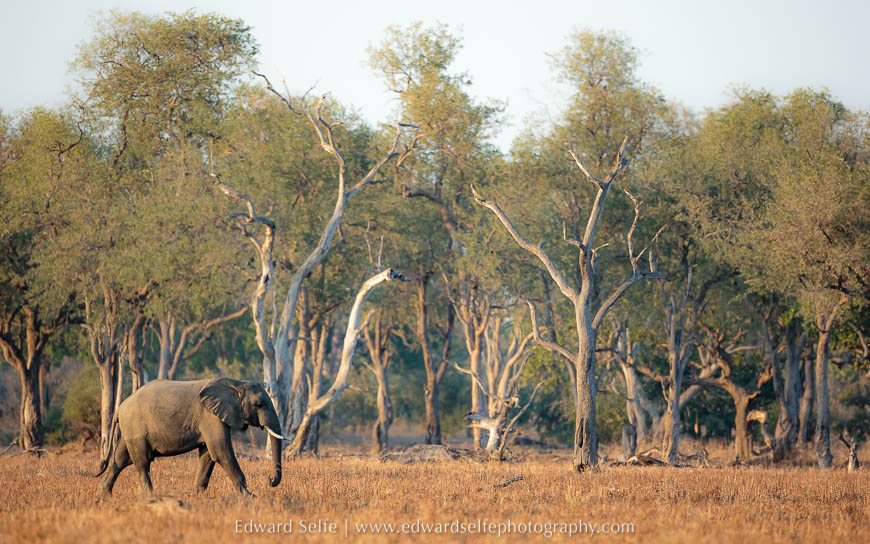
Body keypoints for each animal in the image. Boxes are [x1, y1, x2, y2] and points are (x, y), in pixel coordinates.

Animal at [96, 377, 285, 496]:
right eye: (259, 405)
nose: (270, 480)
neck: (236, 384)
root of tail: (120, 408)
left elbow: (208, 454)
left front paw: (198, 496)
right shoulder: (209, 416)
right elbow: (220, 451)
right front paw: (250, 497)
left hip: (130, 428)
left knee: (121, 458)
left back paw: (104, 496)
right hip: (135, 426)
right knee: (142, 462)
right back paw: (149, 496)